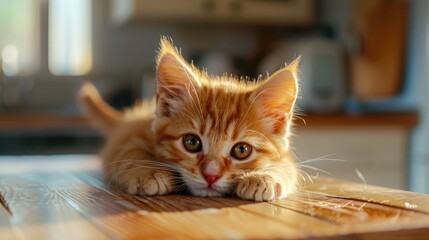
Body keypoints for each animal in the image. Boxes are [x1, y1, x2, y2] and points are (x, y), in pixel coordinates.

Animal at [78, 38, 298, 202]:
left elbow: (287, 168)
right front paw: (148, 173)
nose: (211, 175)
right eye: (191, 142)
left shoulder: (285, 157)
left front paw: (265, 177)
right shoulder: (129, 140)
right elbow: (129, 154)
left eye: (242, 150)